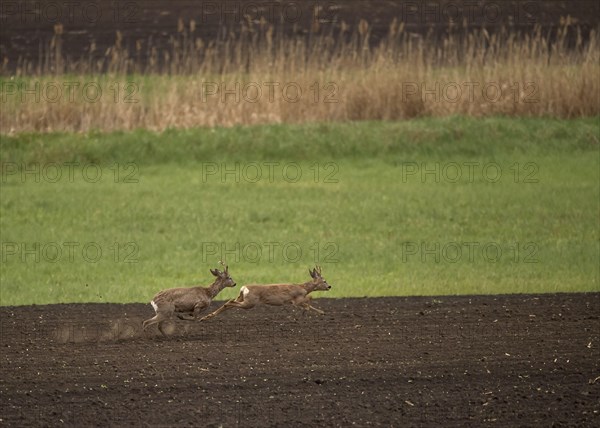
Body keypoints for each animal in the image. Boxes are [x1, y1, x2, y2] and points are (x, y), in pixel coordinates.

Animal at [202, 264, 332, 320]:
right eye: (324, 280)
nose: (329, 286)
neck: (303, 287)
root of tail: (244, 288)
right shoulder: (296, 300)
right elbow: (309, 299)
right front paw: (309, 312)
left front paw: (321, 312)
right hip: (250, 302)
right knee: (230, 302)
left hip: (242, 298)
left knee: (228, 303)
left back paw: (207, 317)